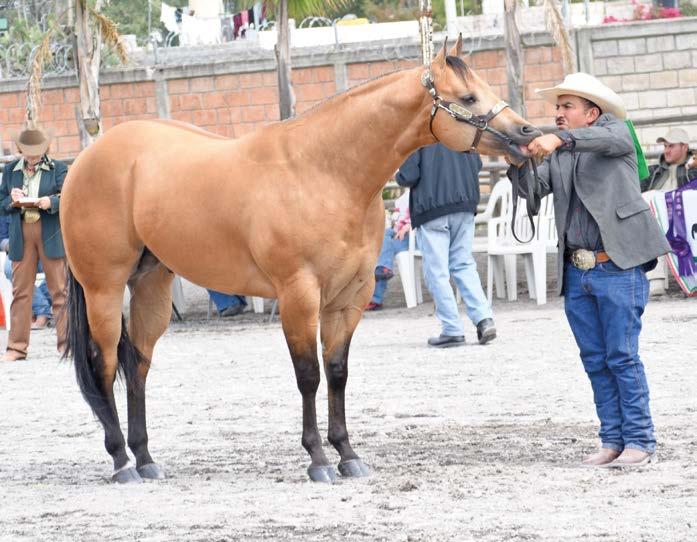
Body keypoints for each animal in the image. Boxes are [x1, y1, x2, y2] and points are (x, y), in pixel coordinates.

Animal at [60, 36, 541, 483]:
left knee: (137, 364)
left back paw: (146, 459)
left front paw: (347, 454)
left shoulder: (350, 298)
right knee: (104, 364)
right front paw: (318, 460)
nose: (527, 135)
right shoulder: (298, 296)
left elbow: (337, 372)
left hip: (151, 286)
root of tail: (85, 161)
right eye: (468, 98)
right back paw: (122, 462)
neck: (323, 172)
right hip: (104, 289)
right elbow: (309, 375)